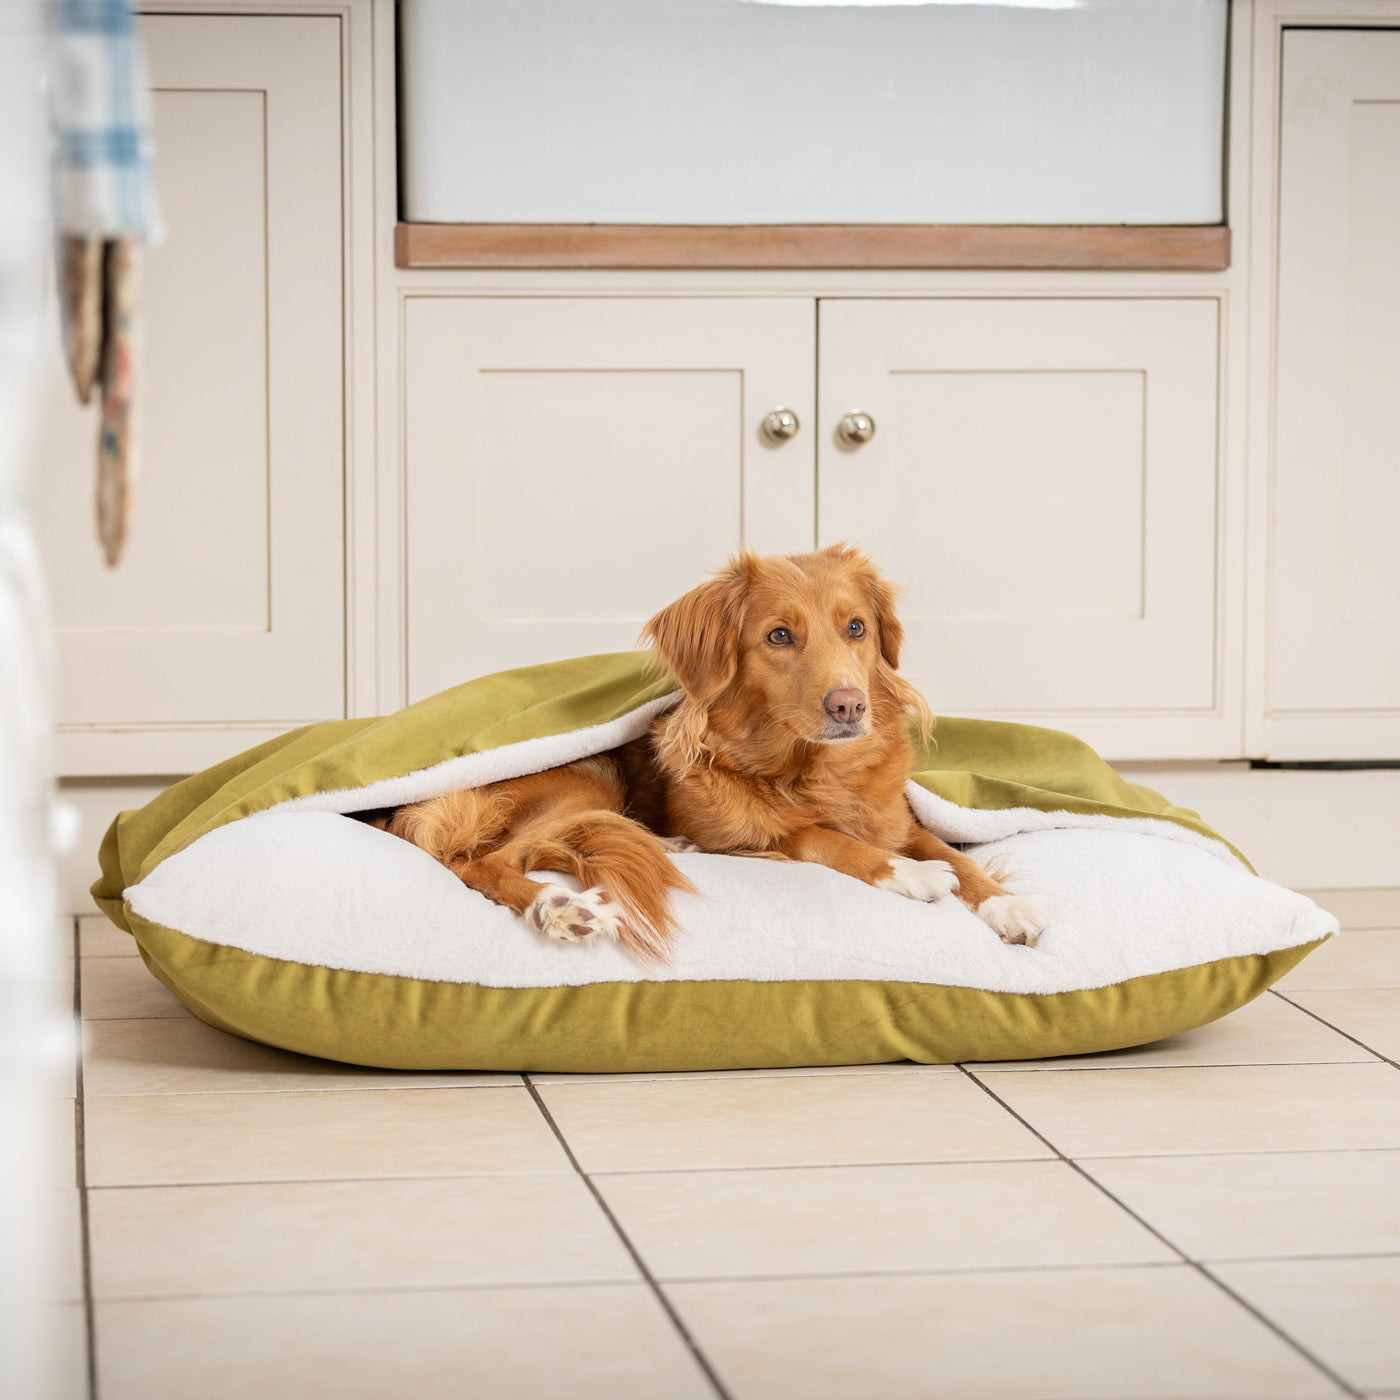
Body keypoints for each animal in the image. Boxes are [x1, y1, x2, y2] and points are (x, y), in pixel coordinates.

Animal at [378, 546, 1047, 963]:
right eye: (779, 635)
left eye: (857, 628)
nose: (850, 706)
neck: (811, 772)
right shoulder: (757, 838)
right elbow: (821, 838)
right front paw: (905, 874)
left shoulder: (898, 819)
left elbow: (951, 853)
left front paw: (1005, 902)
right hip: (585, 775)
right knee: (479, 862)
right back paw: (559, 907)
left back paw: (669, 845)